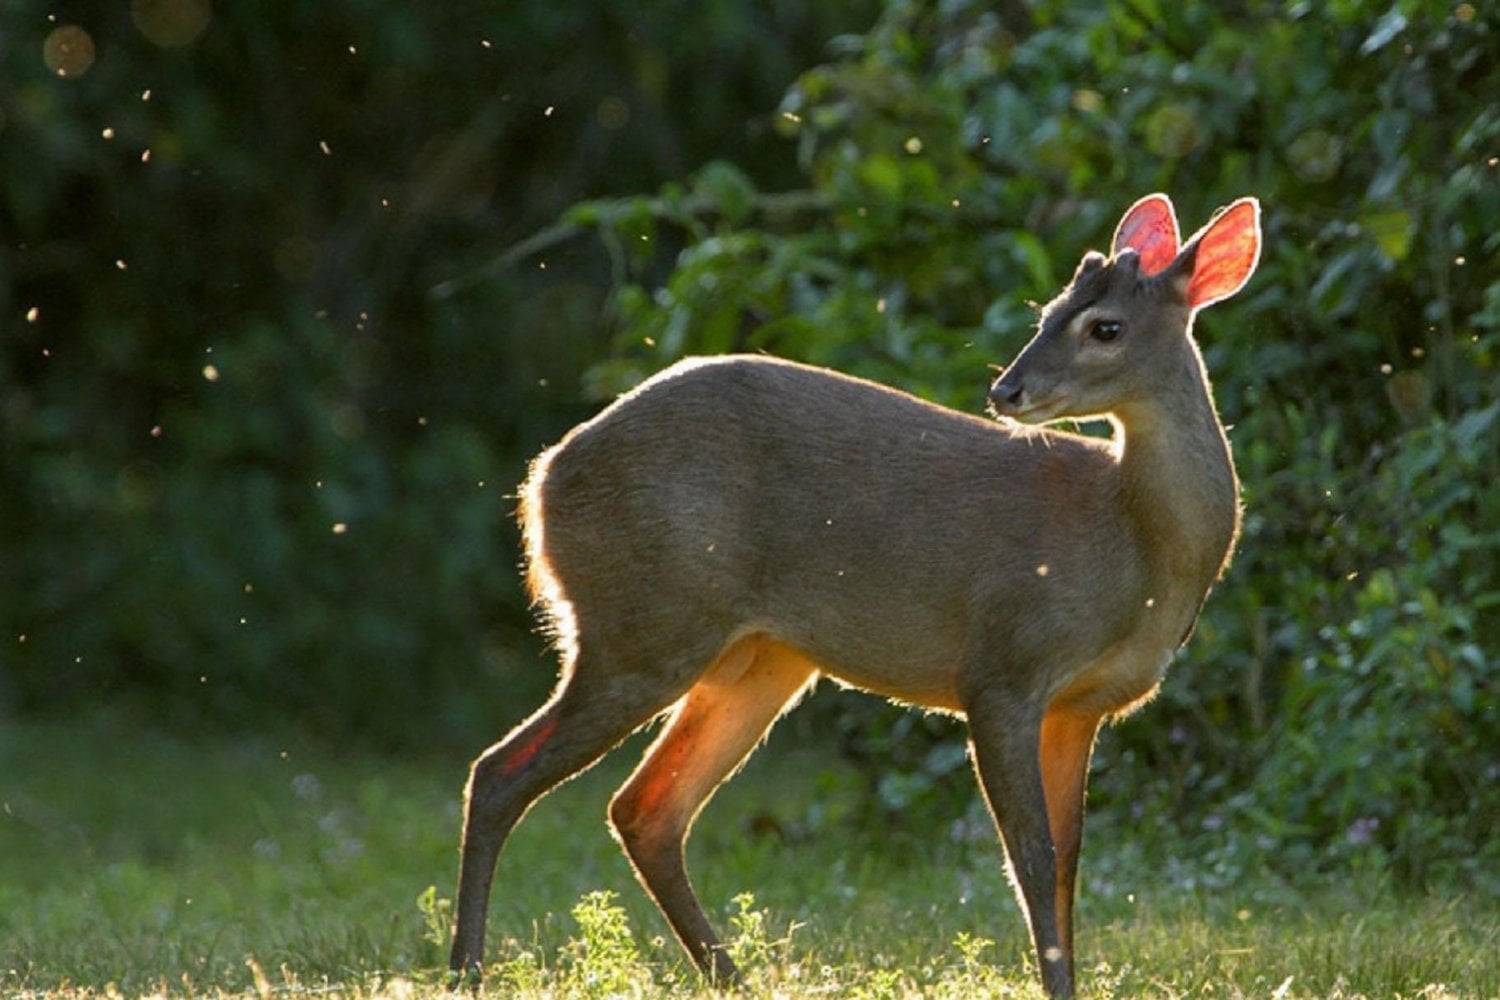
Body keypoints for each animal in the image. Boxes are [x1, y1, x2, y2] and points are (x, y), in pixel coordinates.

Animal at [447, 192, 1262, 997]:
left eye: (1104, 326)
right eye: (1048, 311)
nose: (1007, 390)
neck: (1135, 552)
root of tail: (542, 483)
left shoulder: (1080, 708)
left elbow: (1067, 861)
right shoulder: (1003, 667)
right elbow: (1030, 856)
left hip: (759, 657)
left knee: (646, 808)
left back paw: (735, 979)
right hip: (643, 622)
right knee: (500, 773)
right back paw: (466, 971)